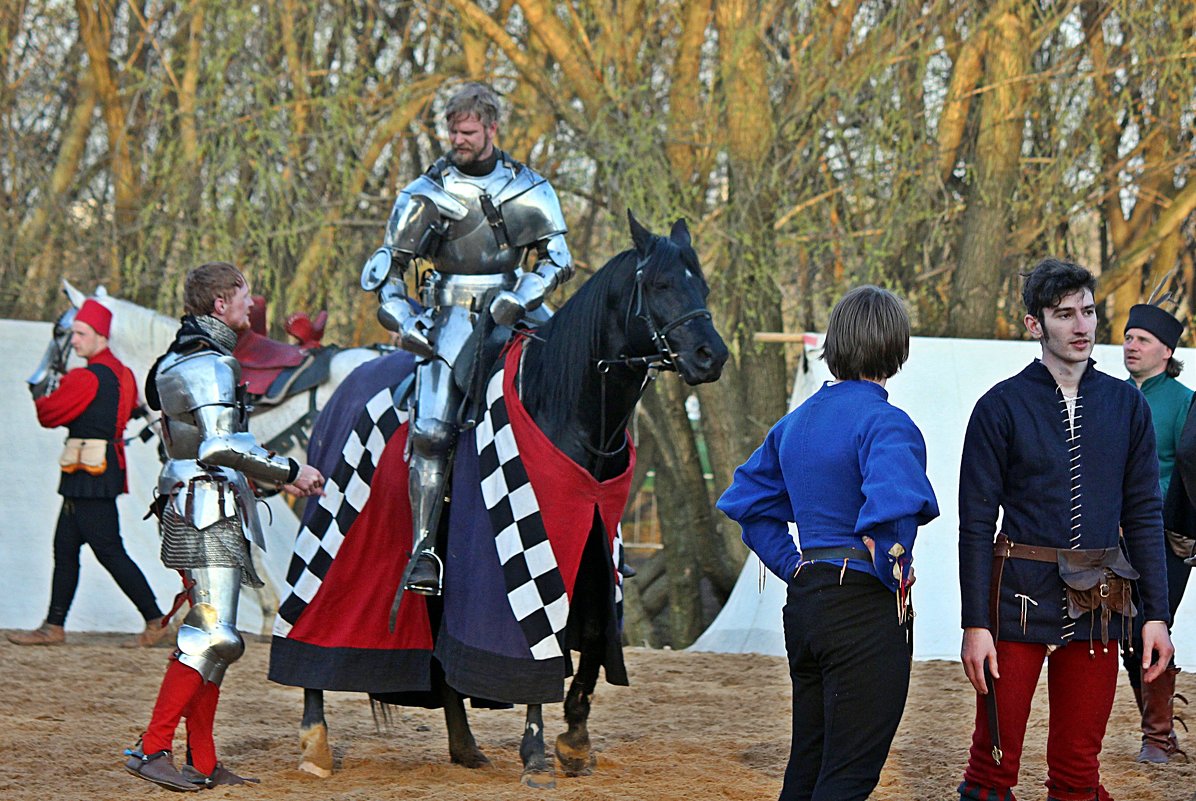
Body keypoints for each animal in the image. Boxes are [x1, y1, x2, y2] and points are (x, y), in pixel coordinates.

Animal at [289, 210, 727, 789]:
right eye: (658, 285)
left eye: (701, 286)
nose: (710, 356)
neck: (566, 405)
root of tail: (342, 387)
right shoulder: (526, 559)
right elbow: (538, 643)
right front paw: (536, 752)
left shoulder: (595, 547)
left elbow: (590, 643)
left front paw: (574, 740)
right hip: (329, 524)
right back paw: (315, 741)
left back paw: (464, 746)